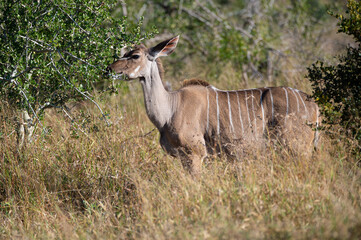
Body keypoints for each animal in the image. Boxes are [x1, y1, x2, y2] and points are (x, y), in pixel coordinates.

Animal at [105, 35, 320, 174]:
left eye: (135, 56)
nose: (109, 69)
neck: (170, 109)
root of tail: (315, 106)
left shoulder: (195, 154)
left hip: (297, 149)